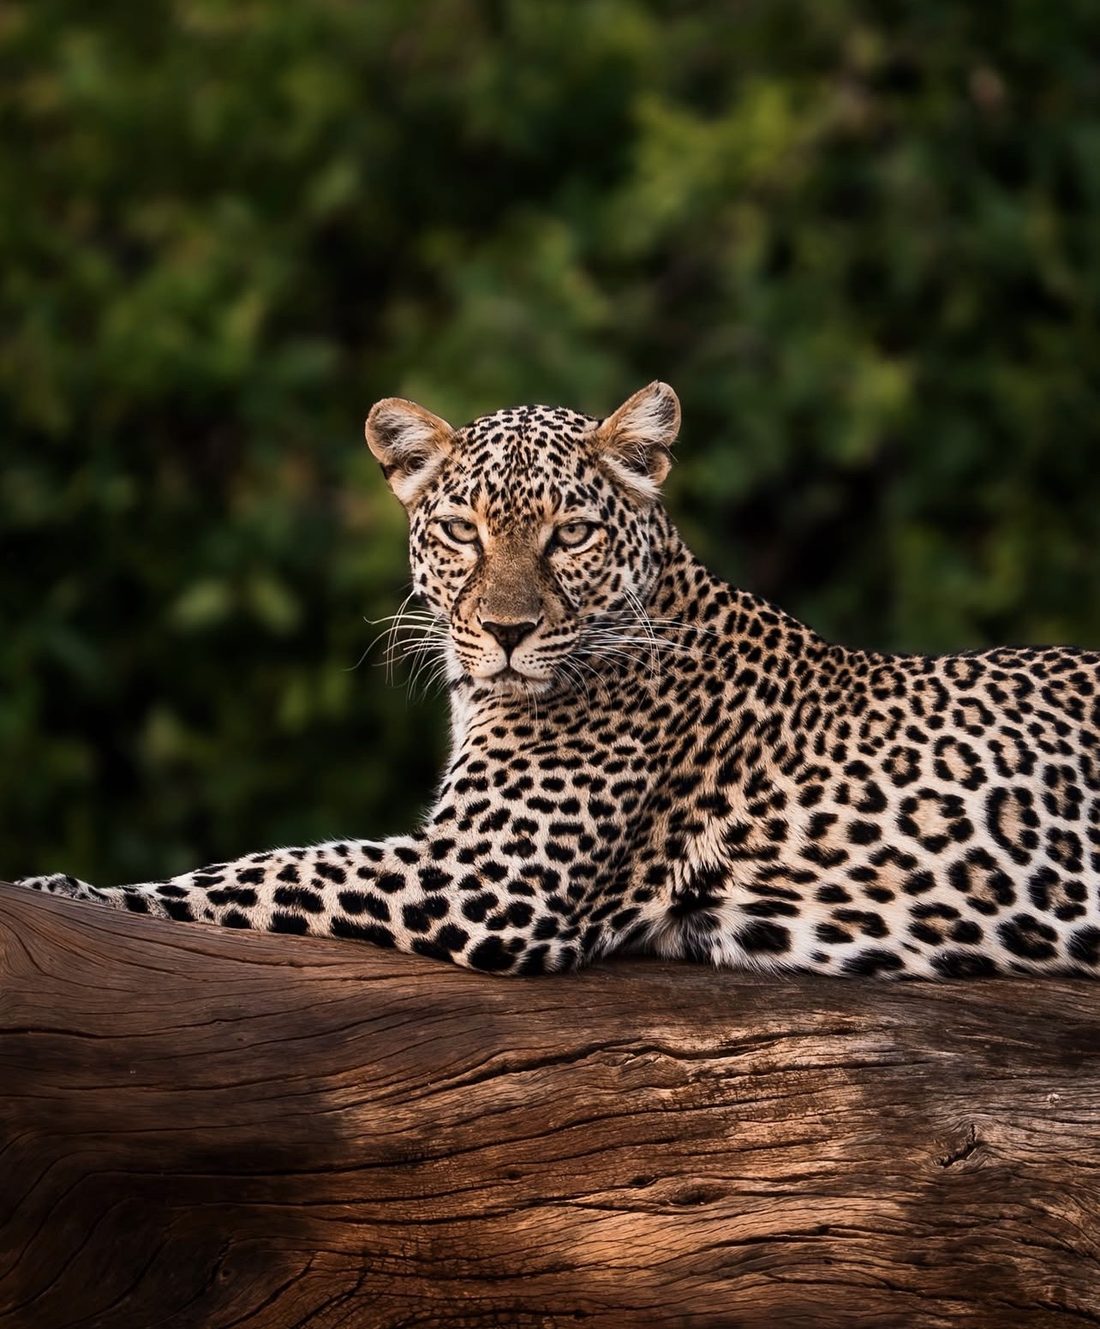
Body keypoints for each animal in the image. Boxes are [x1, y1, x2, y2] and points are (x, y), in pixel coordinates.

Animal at [17, 382, 1100, 977]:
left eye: (570, 533)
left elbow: (268, 869)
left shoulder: (487, 876)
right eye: (463, 531)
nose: (505, 632)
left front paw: (64, 889)